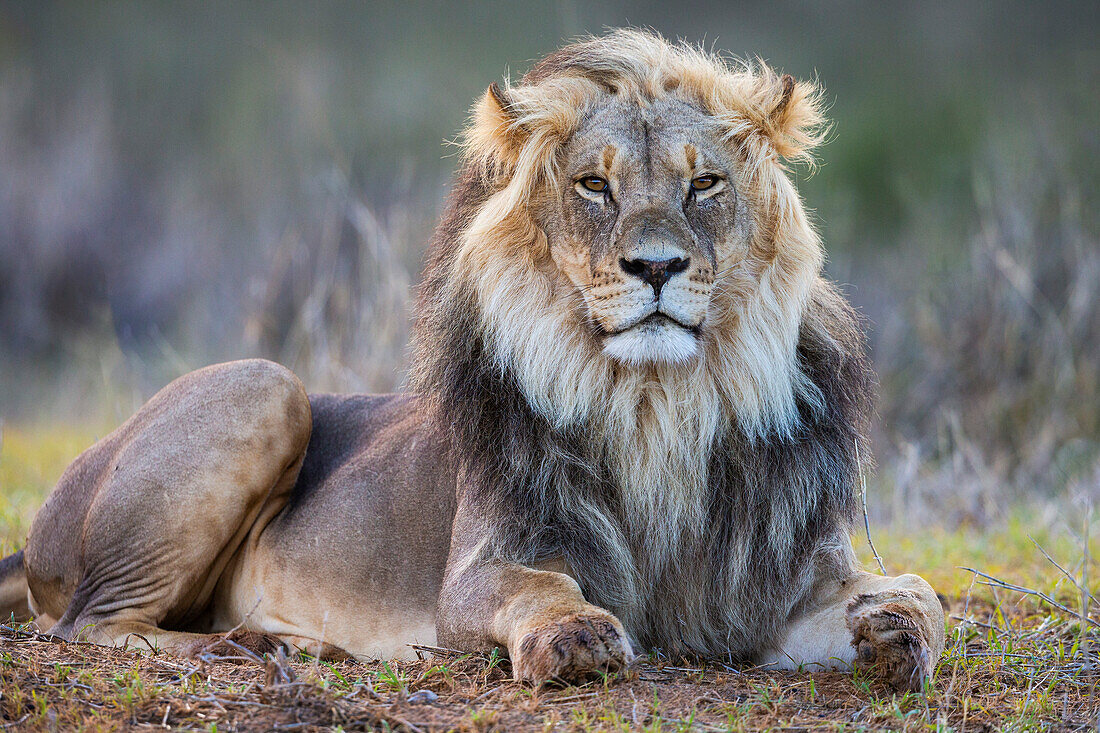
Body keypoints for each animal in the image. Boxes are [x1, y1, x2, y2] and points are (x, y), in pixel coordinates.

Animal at [0, 29, 946, 691]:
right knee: (87, 624)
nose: (656, 266)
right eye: (595, 186)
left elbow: (920, 592)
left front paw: (895, 632)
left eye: (703, 183)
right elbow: (538, 589)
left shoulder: (780, 585)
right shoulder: (480, 568)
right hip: (266, 385)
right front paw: (575, 635)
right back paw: (250, 642)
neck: (657, 406)